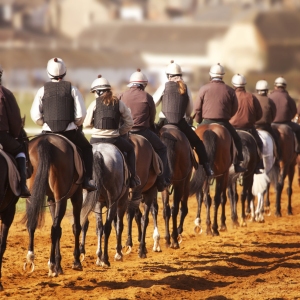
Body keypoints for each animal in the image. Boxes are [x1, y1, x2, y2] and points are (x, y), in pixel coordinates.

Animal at [22, 135, 84, 278]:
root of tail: (46, 140)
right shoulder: (77, 197)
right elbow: (76, 227)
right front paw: (76, 261)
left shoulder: (51, 200)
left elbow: (60, 231)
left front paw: (58, 265)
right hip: (62, 198)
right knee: (54, 229)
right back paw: (50, 265)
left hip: (32, 197)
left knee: (32, 225)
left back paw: (31, 258)